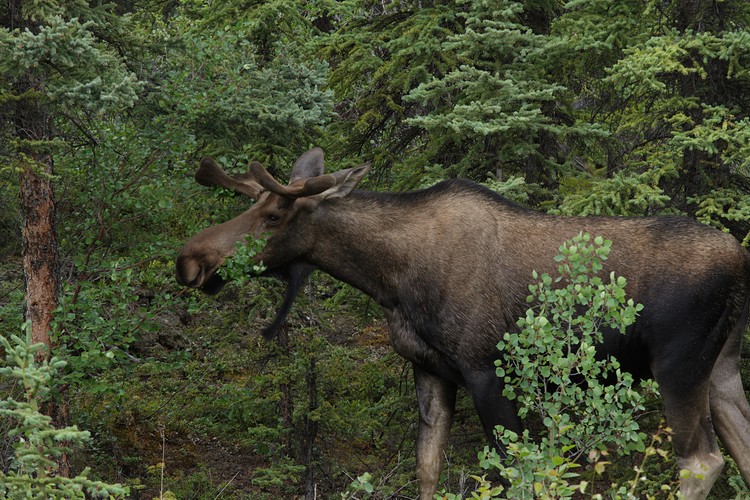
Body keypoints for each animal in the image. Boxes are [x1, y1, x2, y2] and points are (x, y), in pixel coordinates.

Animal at [176, 147, 750, 499]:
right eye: (252, 206)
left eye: (273, 216)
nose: (189, 260)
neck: (390, 279)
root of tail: (742, 261)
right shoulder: (431, 370)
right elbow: (427, 468)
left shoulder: (487, 373)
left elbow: (518, 474)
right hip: (722, 365)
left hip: (679, 365)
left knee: (702, 462)